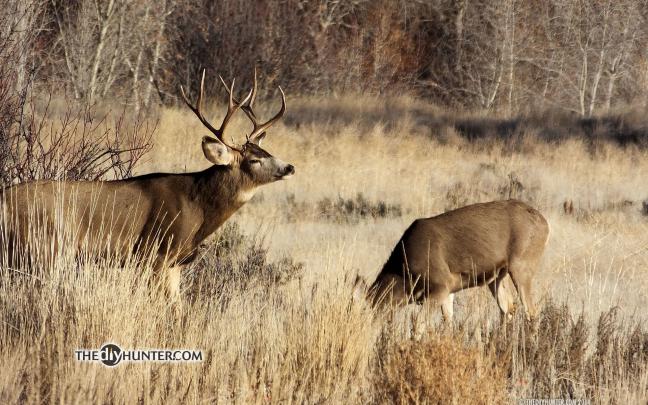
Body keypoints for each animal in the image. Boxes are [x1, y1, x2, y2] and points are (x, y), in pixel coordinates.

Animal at [0, 70, 294, 305]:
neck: (197, 206)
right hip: (42, 248)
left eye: (266, 150)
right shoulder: (155, 254)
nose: (289, 167)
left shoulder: (175, 263)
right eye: (254, 160)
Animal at [367, 200, 549, 321]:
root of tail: (545, 224)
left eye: (374, 306)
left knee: (531, 311)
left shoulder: (441, 285)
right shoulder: (449, 291)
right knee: (508, 309)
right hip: (497, 276)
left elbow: (419, 324)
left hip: (521, 266)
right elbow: (448, 321)